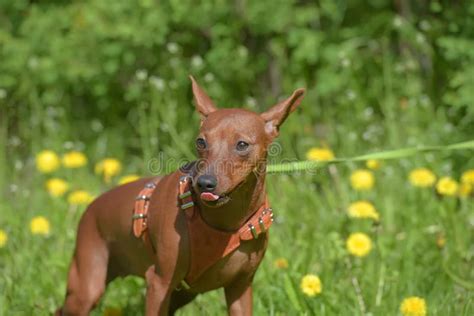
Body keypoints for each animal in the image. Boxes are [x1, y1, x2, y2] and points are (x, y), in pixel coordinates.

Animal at [56, 77, 304, 316]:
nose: (204, 183)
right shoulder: (159, 283)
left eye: (242, 144)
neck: (225, 222)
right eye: (200, 141)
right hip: (86, 289)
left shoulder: (240, 288)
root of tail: (91, 207)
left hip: (182, 294)